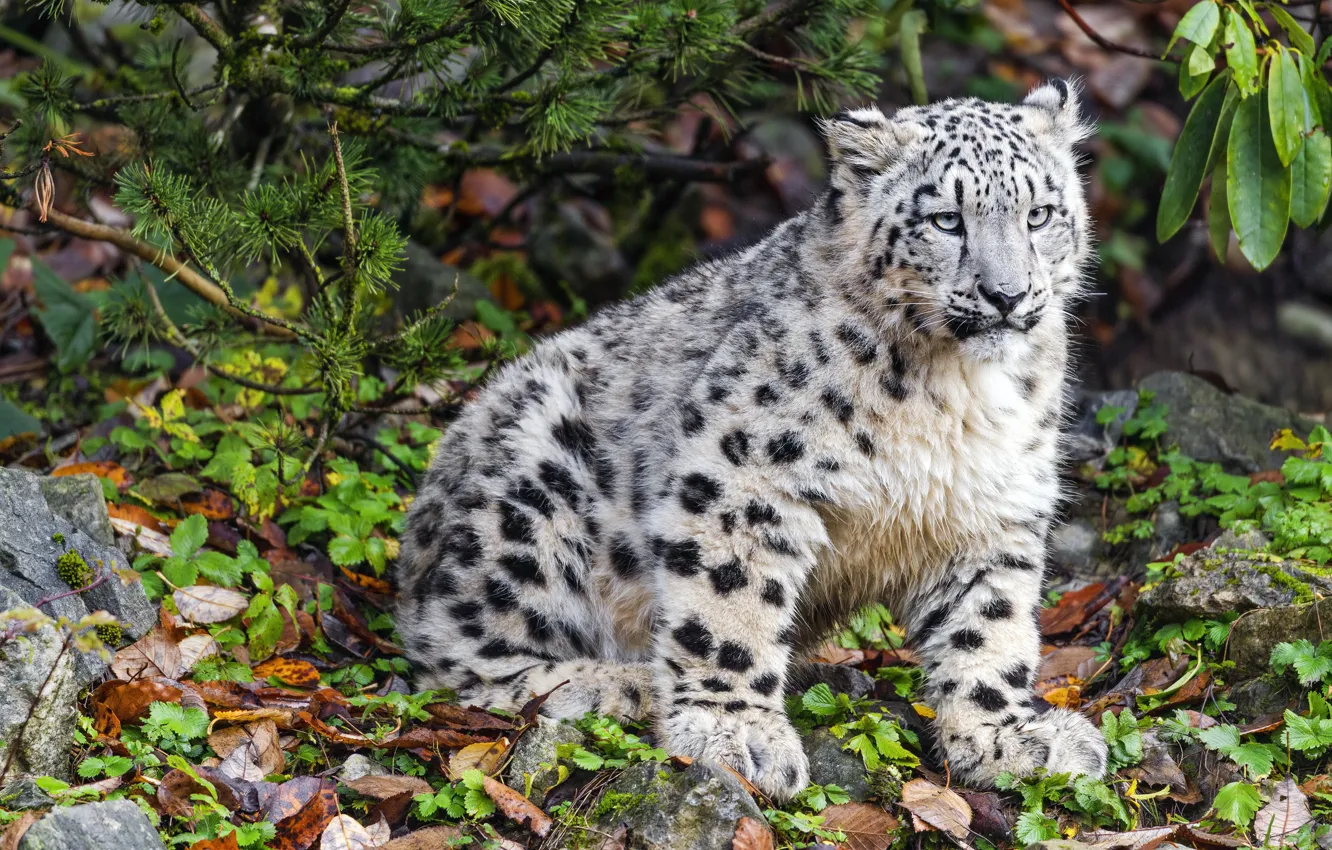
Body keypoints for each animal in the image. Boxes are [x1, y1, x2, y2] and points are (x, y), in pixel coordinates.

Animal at [394, 79, 1109, 800]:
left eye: (1040, 214)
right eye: (946, 220)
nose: (1006, 294)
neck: (960, 396)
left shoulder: (992, 509)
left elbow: (987, 623)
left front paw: (1006, 737)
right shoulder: (748, 471)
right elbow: (730, 601)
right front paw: (736, 734)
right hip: (528, 495)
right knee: (453, 658)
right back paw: (623, 684)